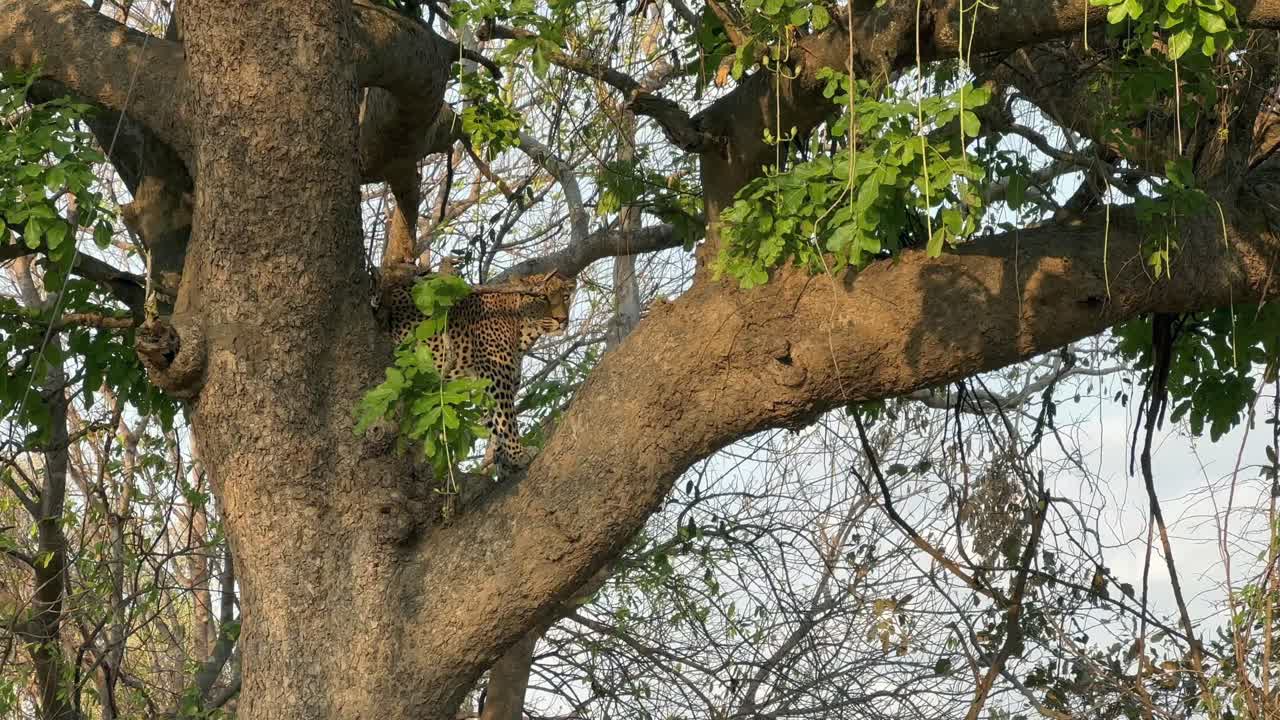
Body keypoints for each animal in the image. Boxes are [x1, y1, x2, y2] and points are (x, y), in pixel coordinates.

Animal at [374, 263, 577, 478]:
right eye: (542, 297)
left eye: (565, 297)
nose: (561, 319)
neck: (522, 330)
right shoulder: (497, 378)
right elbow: (506, 420)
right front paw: (518, 455)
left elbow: (494, 423)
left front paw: (504, 460)